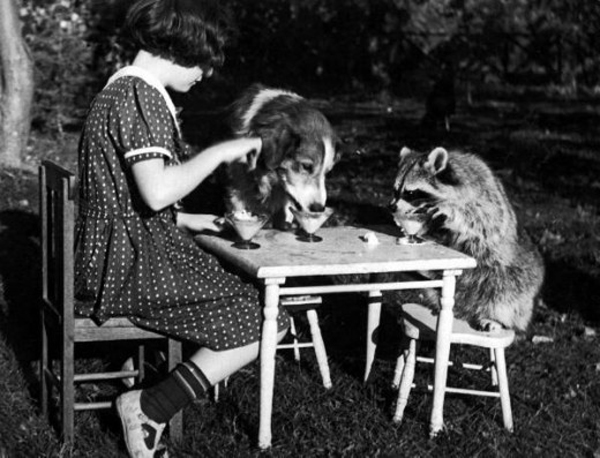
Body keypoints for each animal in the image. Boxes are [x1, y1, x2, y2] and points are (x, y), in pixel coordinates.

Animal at [386, 145, 548, 330]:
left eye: (410, 192)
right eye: (395, 190)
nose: (391, 207)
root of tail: (468, 312)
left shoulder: (484, 199)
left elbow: (481, 220)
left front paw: (449, 211)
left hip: (513, 275)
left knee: (507, 292)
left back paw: (498, 319)